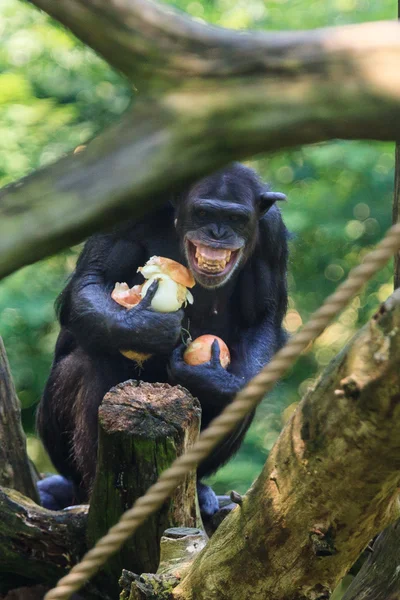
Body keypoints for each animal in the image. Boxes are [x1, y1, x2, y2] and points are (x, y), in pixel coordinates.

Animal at [36, 163, 288, 516]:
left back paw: (200, 488)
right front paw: (145, 327)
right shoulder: (130, 211)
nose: (218, 232)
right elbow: (91, 280)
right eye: (203, 212)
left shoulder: (272, 236)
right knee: (94, 360)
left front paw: (212, 380)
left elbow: (261, 319)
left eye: (236, 217)